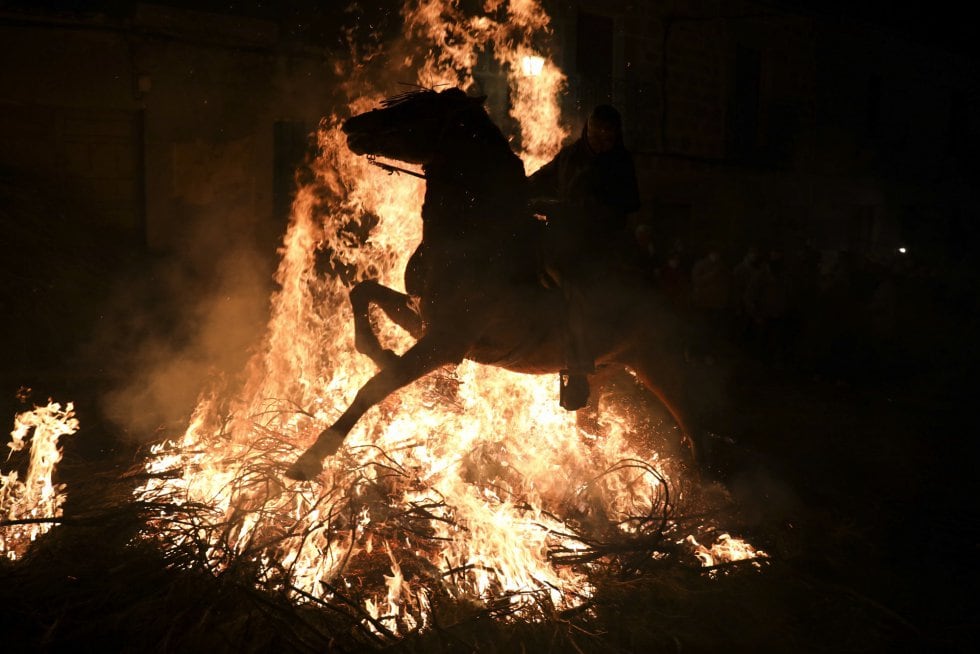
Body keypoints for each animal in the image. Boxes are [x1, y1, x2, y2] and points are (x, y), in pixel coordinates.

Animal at [284, 88, 704, 482]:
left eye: (417, 109)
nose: (352, 124)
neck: (475, 233)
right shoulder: (425, 320)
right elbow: (363, 293)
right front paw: (377, 350)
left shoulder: (446, 342)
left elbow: (377, 385)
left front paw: (311, 459)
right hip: (608, 372)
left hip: (665, 372)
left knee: (700, 440)